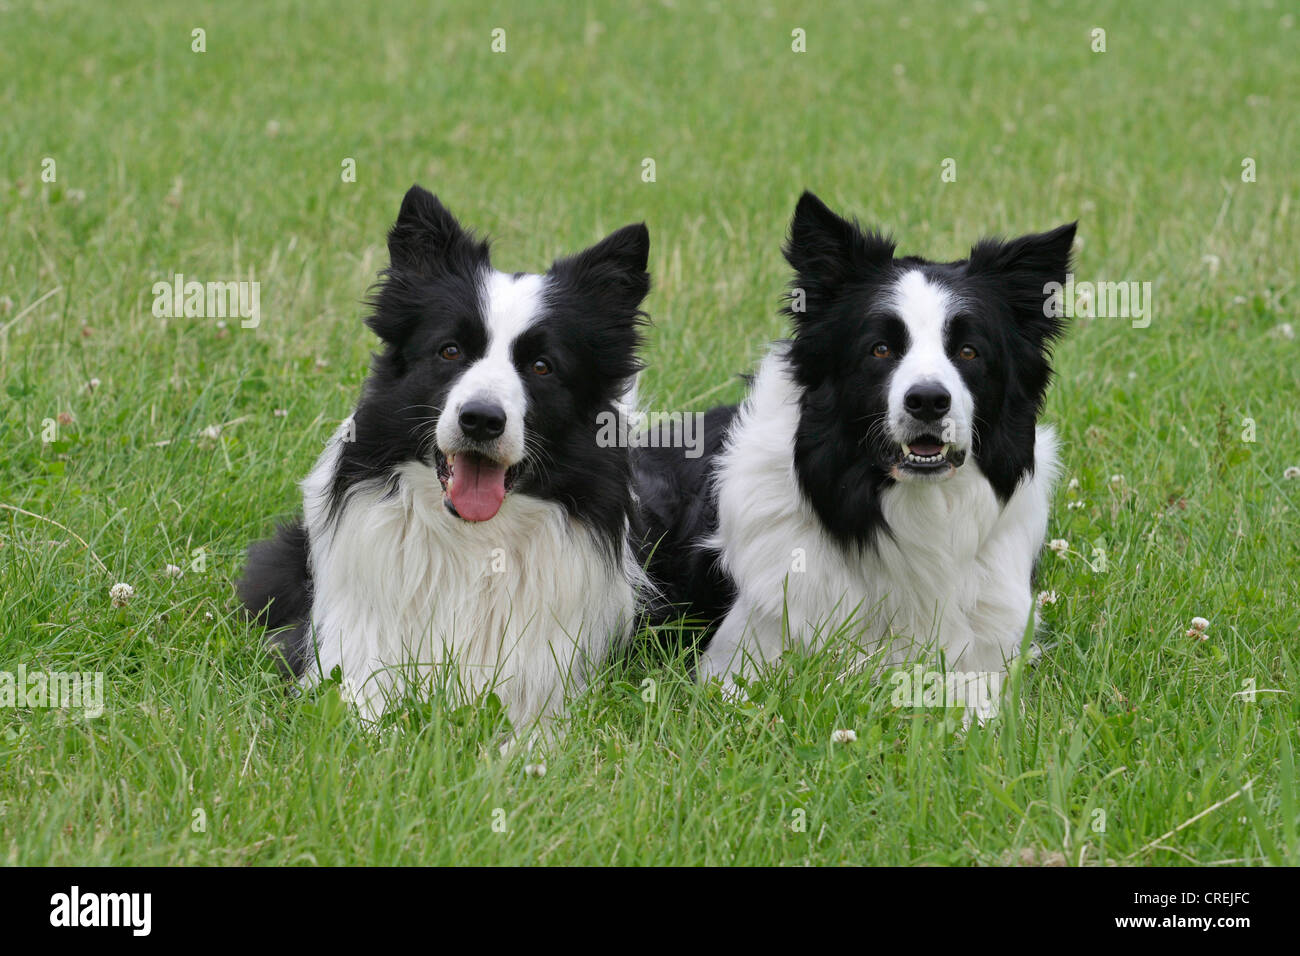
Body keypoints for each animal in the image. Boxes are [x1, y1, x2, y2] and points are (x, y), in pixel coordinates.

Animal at [237, 187, 650, 733]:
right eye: (450, 351)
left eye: (543, 366)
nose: (481, 420)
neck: (475, 541)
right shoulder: (350, 660)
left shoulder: (548, 685)